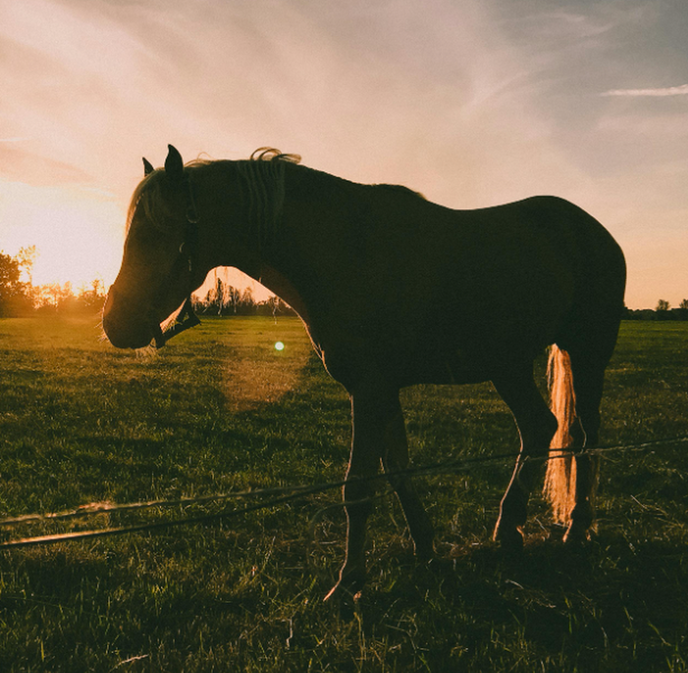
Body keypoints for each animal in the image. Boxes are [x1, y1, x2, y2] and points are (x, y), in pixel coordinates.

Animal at [103, 145, 626, 601]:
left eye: (154, 232)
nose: (114, 323)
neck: (345, 249)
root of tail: (594, 230)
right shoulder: (382, 391)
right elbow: (397, 471)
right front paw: (425, 548)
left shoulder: (369, 390)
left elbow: (357, 487)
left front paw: (349, 581)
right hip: (509, 365)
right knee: (539, 428)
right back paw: (509, 529)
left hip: (586, 353)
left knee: (584, 437)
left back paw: (576, 528)